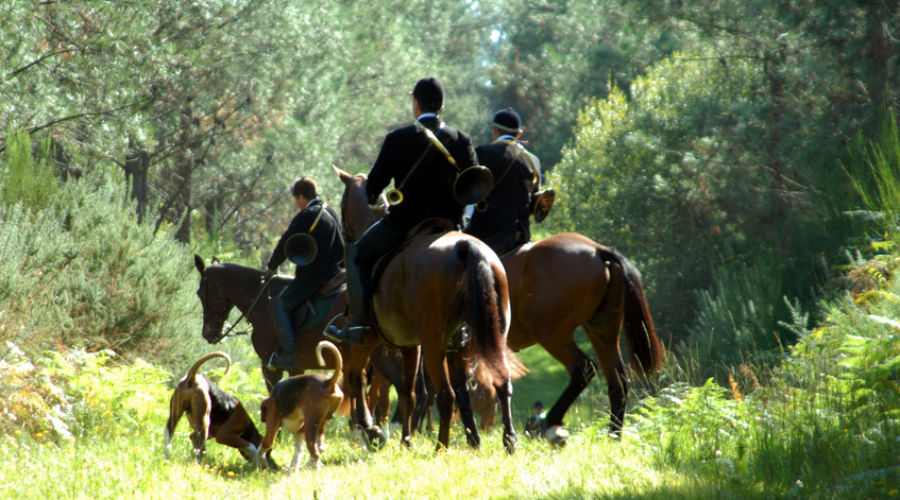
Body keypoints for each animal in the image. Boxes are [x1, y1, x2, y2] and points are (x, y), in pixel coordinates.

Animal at [262, 338, 346, 470]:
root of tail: (328, 382)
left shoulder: (272, 427)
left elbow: (263, 446)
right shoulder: (301, 431)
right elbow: (298, 451)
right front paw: (292, 469)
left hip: (311, 425)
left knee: (314, 452)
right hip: (320, 424)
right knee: (319, 449)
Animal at [332, 166, 516, 452]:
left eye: (342, 205)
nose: (344, 240)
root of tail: (467, 249)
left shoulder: (366, 341)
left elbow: (357, 379)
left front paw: (372, 430)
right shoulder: (414, 346)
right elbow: (410, 392)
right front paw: (406, 441)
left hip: (432, 346)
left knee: (444, 395)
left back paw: (441, 446)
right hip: (485, 340)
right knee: (498, 382)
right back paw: (505, 440)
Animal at [502, 234, 664, 442]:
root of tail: (598, 250)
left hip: (550, 332)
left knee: (583, 368)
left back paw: (551, 423)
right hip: (602, 330)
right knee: (617, 381)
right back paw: (613, 437)